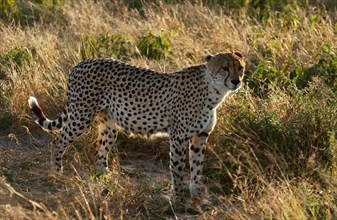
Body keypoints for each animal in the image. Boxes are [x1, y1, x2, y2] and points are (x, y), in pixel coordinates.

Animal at [28, 51, 244, 203]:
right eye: (225, 68)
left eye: (240, 68)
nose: (236, 81)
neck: (213, 90)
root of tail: (81, 63)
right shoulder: (179, 137)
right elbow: (178, 169)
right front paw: (178, 198)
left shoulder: (201, 136)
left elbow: (197, 167)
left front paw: (197, 194)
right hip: (81, 116)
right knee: (58, 140)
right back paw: (57, 171)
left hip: (108, 125)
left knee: (101, 150)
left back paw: (105, 177)